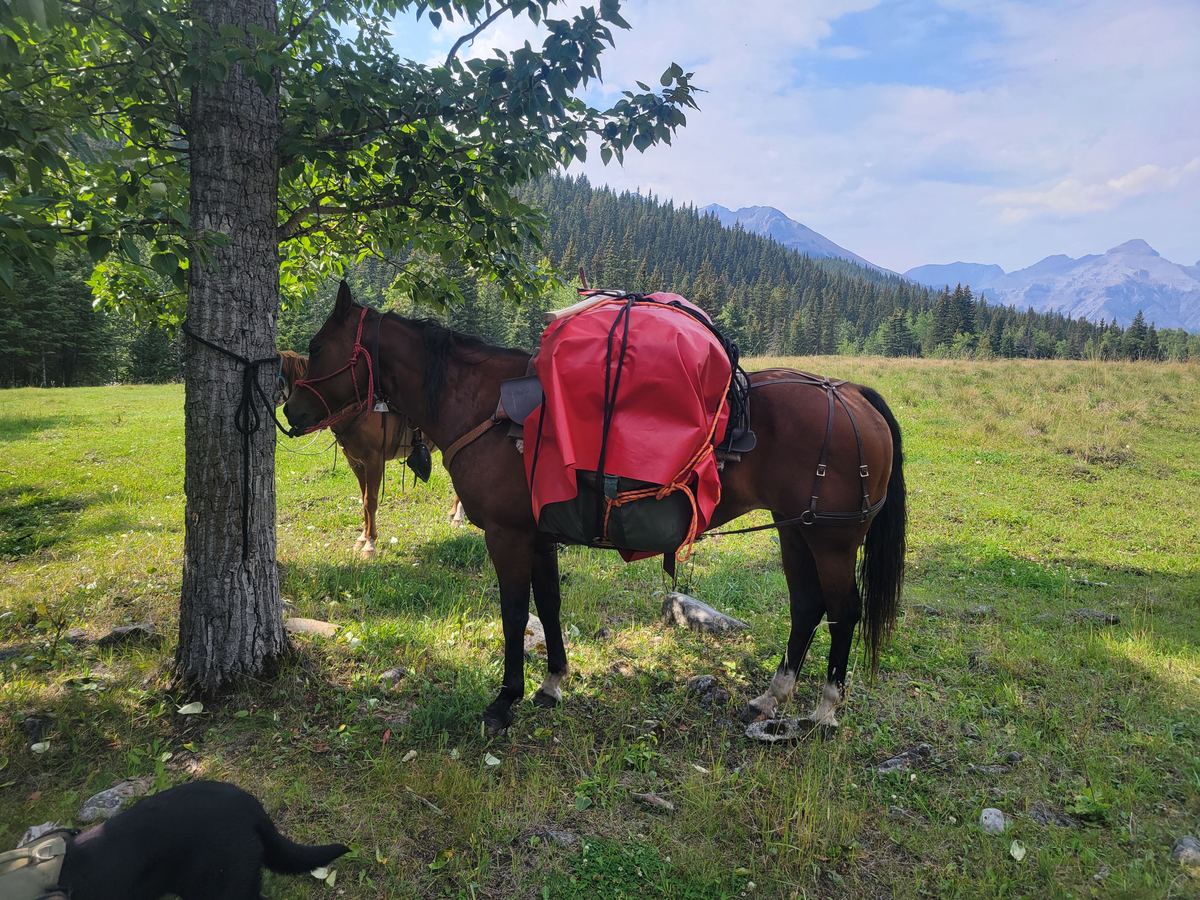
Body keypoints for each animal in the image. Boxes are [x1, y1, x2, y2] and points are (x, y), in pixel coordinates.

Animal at [276, 350, 464, 556]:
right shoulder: (356, 462)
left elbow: (370, 500)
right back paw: (454, 513)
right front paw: (363, 537)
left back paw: (458, 516)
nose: (288, 411)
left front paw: (370, 544)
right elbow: (363, 498)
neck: (357, 407)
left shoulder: (374, 461)